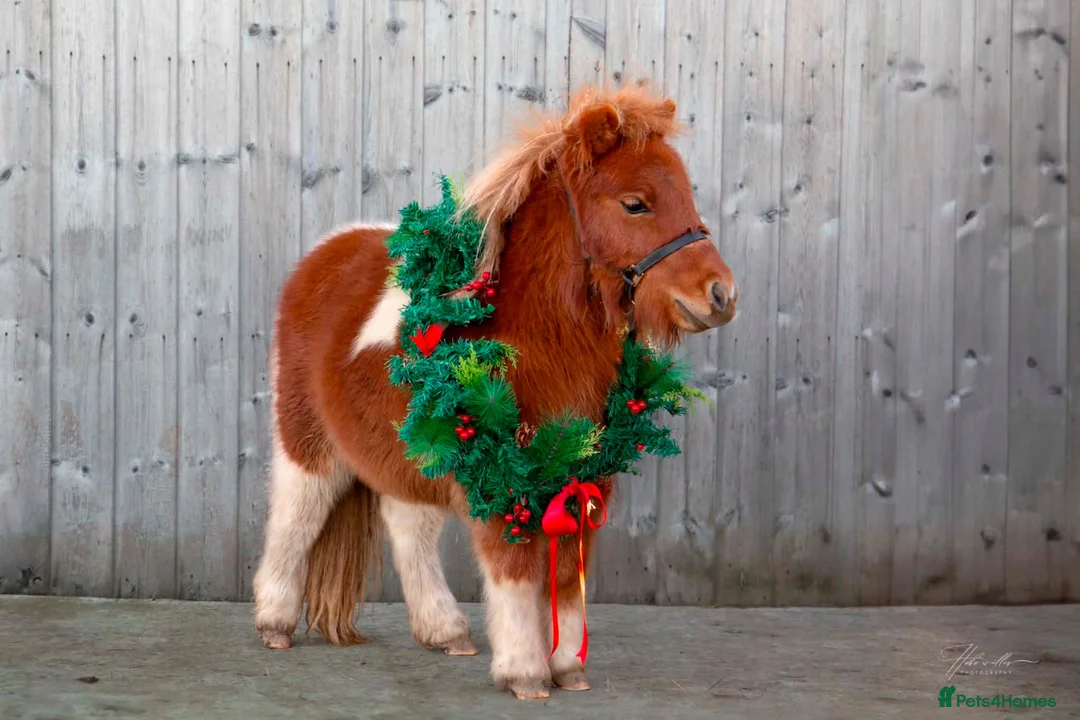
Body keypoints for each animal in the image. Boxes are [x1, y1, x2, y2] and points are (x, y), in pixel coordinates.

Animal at [251, 83, 738, 700]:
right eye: (635, 204)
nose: (721, 295)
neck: (530, 334)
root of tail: (323, 255)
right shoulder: (502, 473)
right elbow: (514, 569)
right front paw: (525, 670)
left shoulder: (581, 474)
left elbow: (566, 573)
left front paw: (568, 667)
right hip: (306, 438)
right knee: (296, 515)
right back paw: (274, 622)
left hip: (417, 446)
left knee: (408, 526)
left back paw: (446, 631)